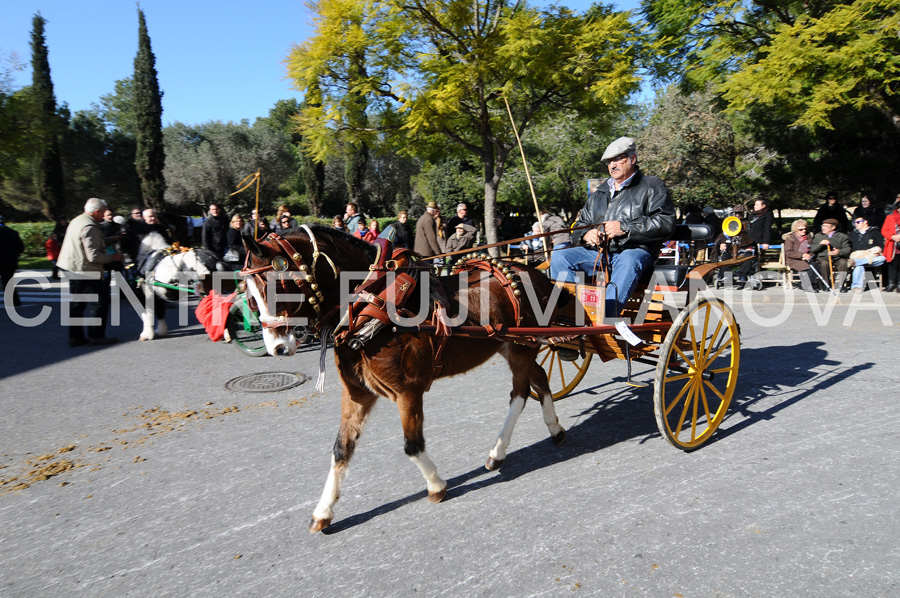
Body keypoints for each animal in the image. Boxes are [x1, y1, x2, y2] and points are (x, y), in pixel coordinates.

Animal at [239, 226, 564, 536]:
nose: (277, 347)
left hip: (521, 348)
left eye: (276, 285)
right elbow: (341, 448)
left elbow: (412, 445)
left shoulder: (408, 391)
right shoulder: (357, 393)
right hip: (513, 345)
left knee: (520, 393)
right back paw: (554, 428)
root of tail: (533, 272)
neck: (370, 303)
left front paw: (436, 485)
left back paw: (497, 452)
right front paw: (323, 512)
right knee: (539, 377)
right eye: (250, 297)